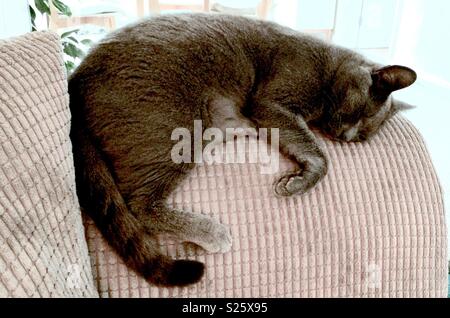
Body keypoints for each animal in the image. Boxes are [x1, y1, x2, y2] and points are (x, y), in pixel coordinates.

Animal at [68, 13, 416, 286]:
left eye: (361, 137)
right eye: (361, 112)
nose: (346, 136)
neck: (326, 66)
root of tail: (77, 76)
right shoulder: (271, 103)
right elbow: (318, 152)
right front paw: (299, 182)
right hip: (177, 131)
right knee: (138, 204)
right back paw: (212, 233)